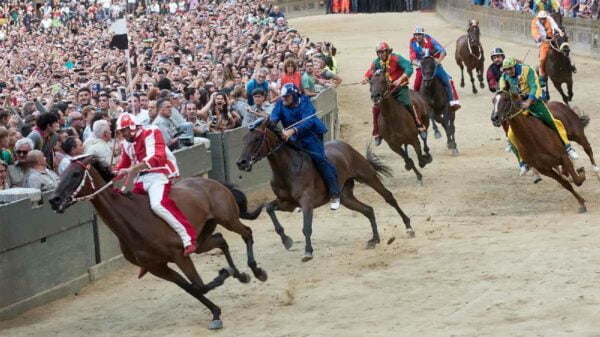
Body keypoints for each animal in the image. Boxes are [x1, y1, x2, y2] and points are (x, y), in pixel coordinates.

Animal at [48, 156, 268, 330]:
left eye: (76, 174)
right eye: (61, 173)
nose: (54, 199)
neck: (133, 219)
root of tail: (211, 182)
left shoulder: (179, 255)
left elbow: (200, 286)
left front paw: (224, 274)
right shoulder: (157, 267)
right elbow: (193, 288)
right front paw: (215, 312)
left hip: (228, 219)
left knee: (247, 233)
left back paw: (257, 271)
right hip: (201, 239)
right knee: (221, 240)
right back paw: (241, 275)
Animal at [237, 118, 414, 262]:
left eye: (257, 139)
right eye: (243, 139)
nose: (241, 162)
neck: (288, 168)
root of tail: (345, 146)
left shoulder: (306, 202)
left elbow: (306, 227)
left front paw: (308, 252)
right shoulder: (286, 203)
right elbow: (268, 208)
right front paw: (286, 240)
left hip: (367, 176)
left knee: (389, 198)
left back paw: (409, 227)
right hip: (346, 197)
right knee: (368, 210)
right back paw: (375, 239)